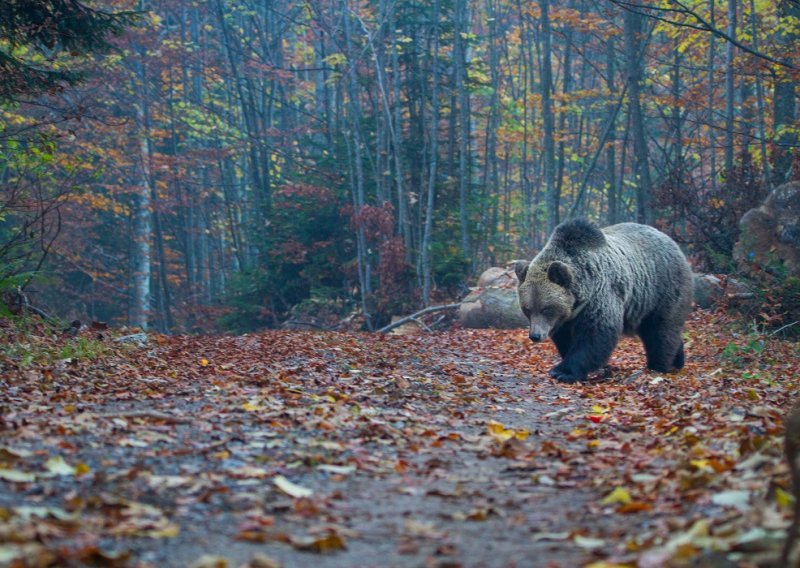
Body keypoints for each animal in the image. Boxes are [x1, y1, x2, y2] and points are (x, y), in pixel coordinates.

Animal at [516, 220, 692, 384]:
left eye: (546, 309)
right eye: (527, 309)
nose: (535, 335)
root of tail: (672, 242)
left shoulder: (600, 295)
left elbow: (596, 333)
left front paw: (563, 372)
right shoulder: (566, 317)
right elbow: (565, 337)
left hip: (662, 289)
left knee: (661, 329)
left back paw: (658, 365)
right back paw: (677, 360)